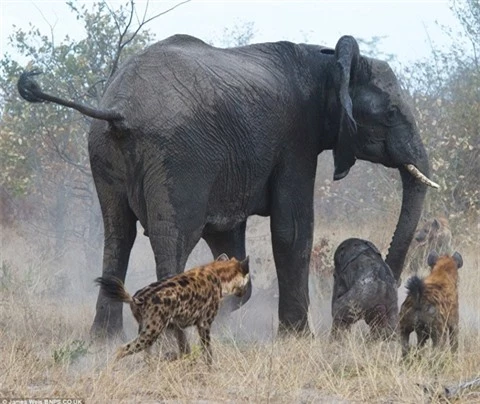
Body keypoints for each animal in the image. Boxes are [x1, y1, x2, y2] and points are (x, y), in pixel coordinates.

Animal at [17, 34, 438, 338]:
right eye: (391, 113)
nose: (393, 278)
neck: (326, 58)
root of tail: (118, 108)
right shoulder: (295, 140)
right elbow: (293, 230)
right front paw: (297, 339)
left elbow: (227, 236)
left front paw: (220, 309)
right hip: (176, 157)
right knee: (173, 238)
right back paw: (168, 340)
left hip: (103, 150)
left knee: (118, 235)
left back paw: (102, 341)